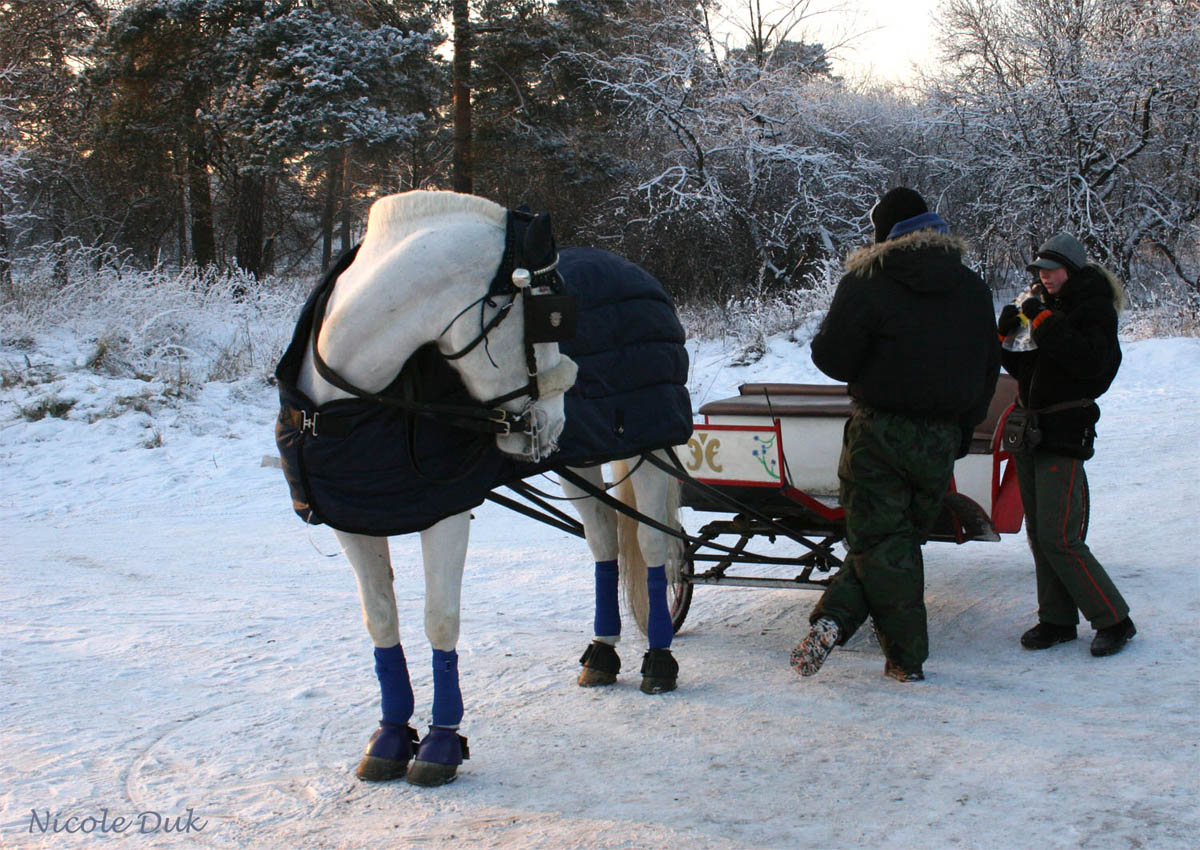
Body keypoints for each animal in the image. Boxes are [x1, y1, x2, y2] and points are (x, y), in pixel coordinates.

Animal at [291, 189, 681, 787]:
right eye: (550, 319)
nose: (555, 418)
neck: (353, 404)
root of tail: (641, 272)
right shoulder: (351, 520)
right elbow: (381, 621)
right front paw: (390, 735)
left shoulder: (447, 513)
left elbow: (440, 621)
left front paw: (441, 743)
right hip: (584, 461)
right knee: (604, 542)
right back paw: (603, 650)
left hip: (650, 446)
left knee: (655, 545)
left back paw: (659, 656)